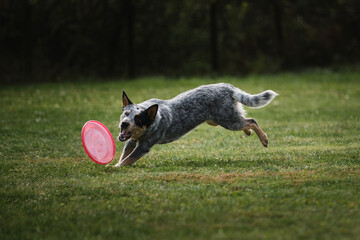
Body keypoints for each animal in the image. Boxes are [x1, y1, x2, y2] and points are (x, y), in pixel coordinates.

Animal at [114, 84, 278, 167]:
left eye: (138, 119)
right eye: (126, 113)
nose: (124, 123)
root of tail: (227, 86)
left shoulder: (144, 146)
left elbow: (127, 160)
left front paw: (113, 168)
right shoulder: (130, 141)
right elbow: (124, 156)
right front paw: (115, 163)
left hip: (228, 121)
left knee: (252, 121)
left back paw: (264, 139)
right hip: (220, 120)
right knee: (246, 120)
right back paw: (248, 132)